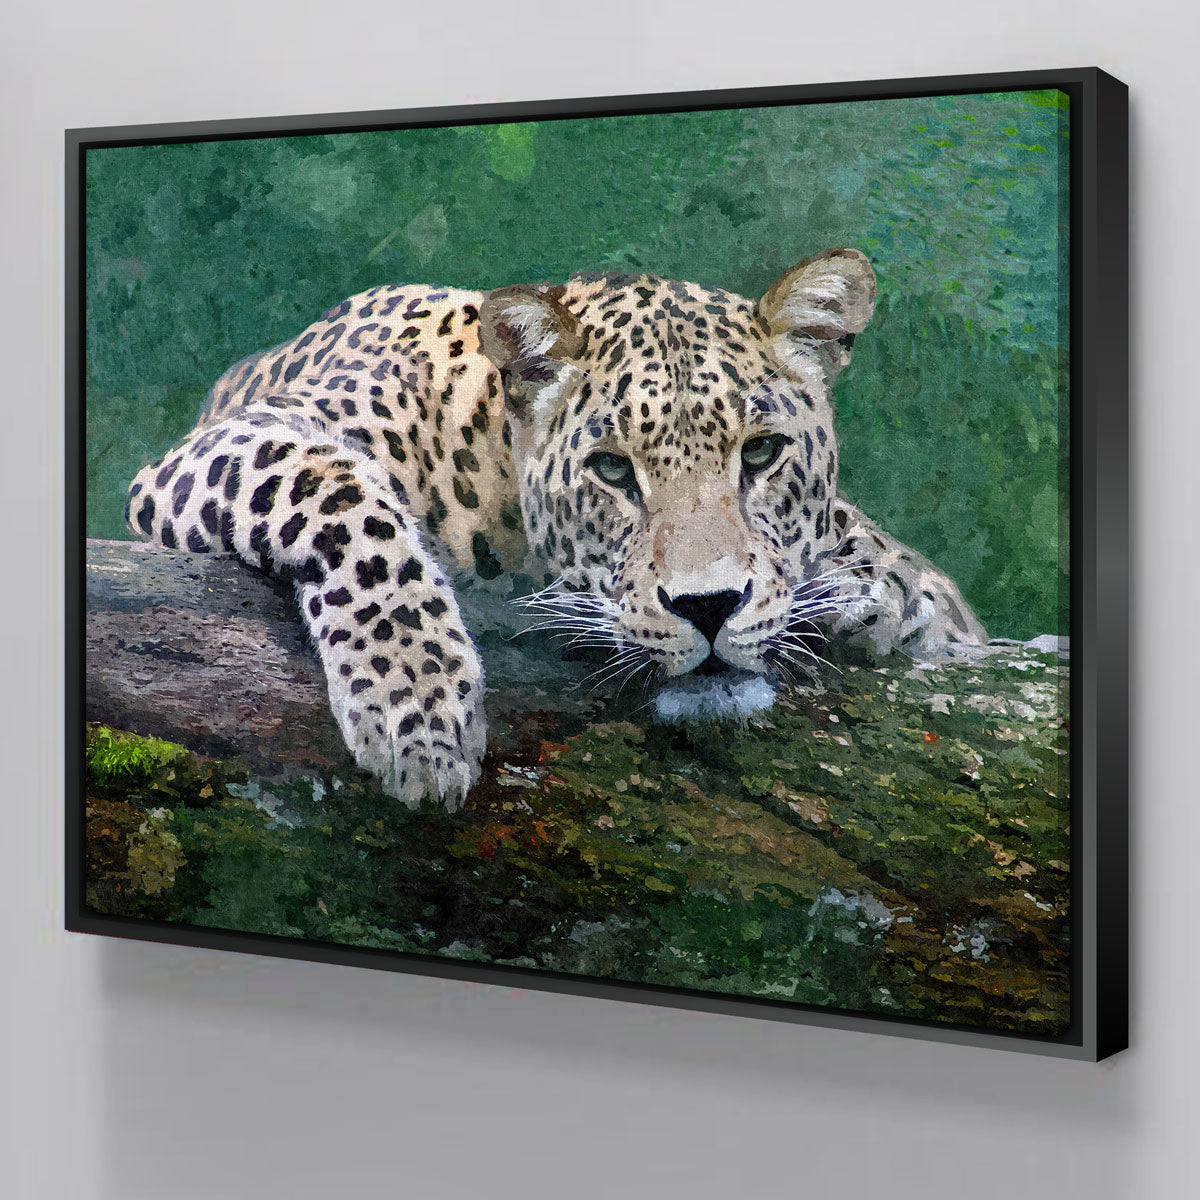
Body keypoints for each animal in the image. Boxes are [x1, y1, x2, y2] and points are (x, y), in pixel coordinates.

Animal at [125, 247, 987, 810]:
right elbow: (345, 501)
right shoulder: (230, 444)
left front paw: (882, 587)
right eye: (612, 470)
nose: (709, 607)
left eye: (761, 453)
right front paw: (419, 712)